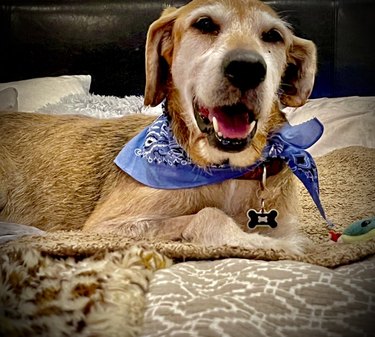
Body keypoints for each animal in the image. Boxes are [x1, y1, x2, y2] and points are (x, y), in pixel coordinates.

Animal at [0, 0, 318, 252]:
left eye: (273, 36)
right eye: (204, 24)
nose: (247, 68)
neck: (227, 171)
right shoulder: (106, 227)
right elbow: (209, 214)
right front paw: (261, 243)